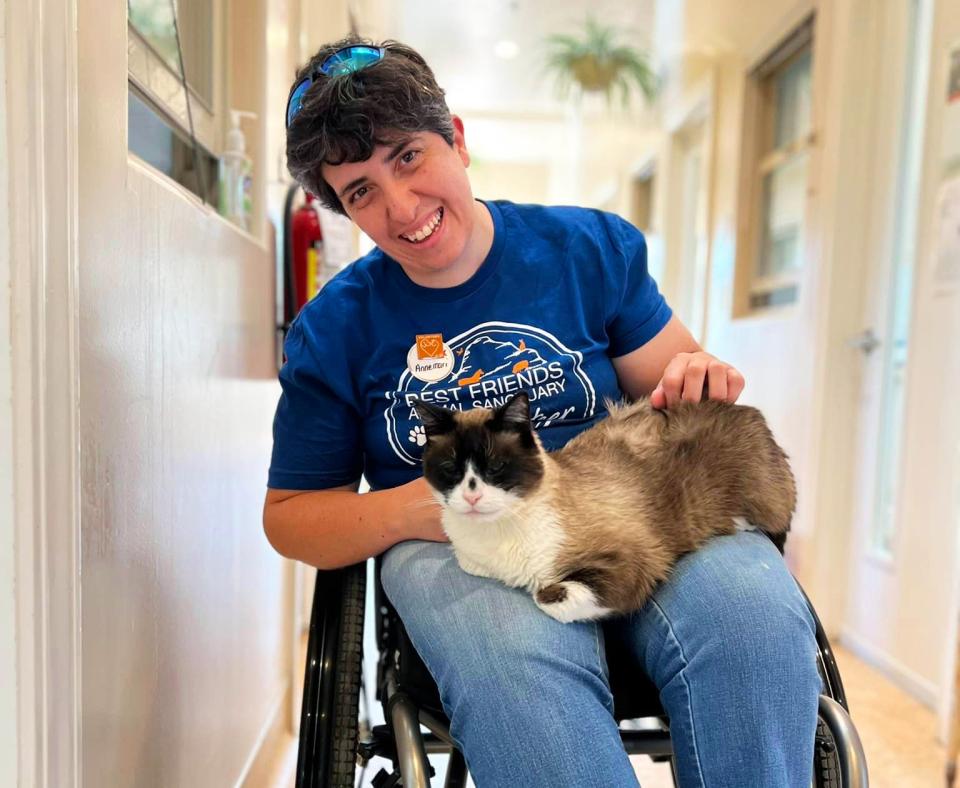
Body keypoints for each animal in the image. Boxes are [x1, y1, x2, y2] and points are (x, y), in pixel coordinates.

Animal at [412, 392, 796, 620]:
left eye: (495, 468)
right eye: (451, 469)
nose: (472, 497)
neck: (494, 536)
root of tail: (748, 410)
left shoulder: (637, 561)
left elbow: (544, 595)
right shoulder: (471, 561)